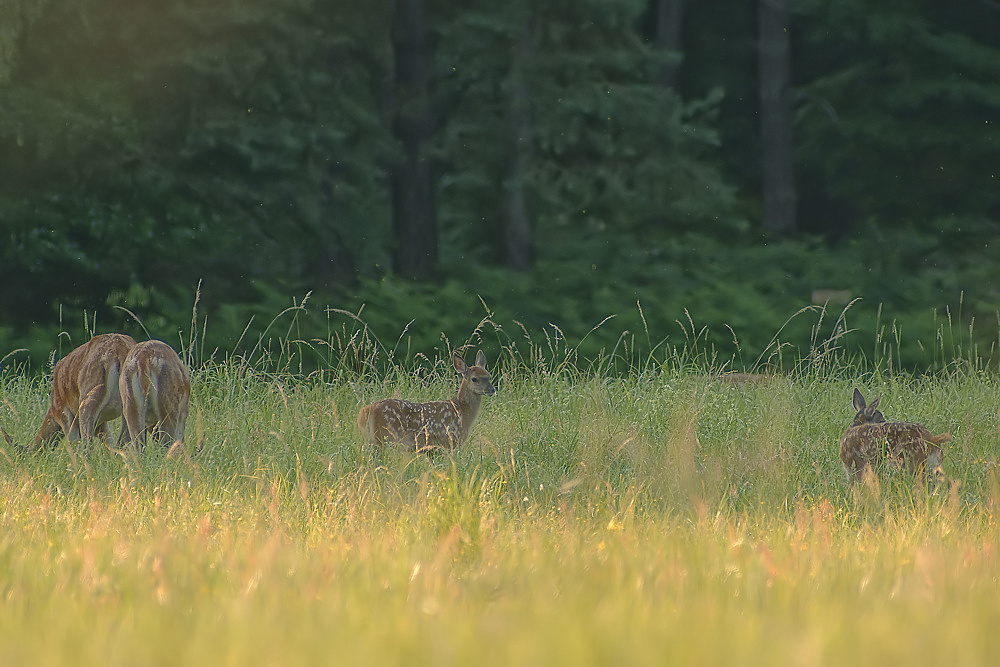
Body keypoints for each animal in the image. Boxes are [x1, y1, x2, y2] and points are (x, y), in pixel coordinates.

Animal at [362, 350, 498, 454]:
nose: (492, 389)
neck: (462, 410)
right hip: (388, 437)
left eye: (489, 376)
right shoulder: (450, 440)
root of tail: (369, 409)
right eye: (474, 379)